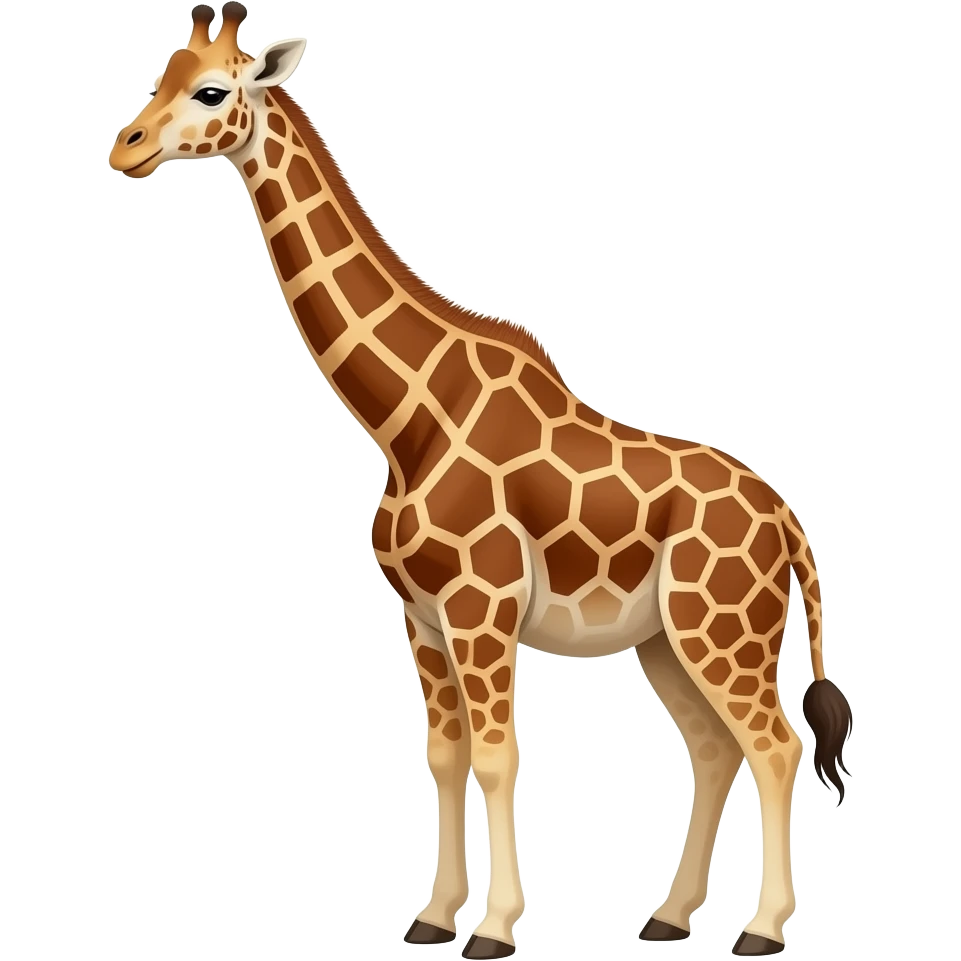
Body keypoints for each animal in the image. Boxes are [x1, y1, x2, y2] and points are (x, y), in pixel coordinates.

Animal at [108, 5, 854, 957]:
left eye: (210, 90)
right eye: (161, 73)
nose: (124, 148)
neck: (405, 425)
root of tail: (791, 524)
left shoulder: (480, 607)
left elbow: (499, 757)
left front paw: (495, 928)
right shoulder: (421, 617)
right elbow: (444, 756)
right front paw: (432, 916)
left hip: (722, 629)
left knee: (775, 744)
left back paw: (760, 928)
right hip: (666, 638)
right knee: (714, 747)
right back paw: (668, 915)